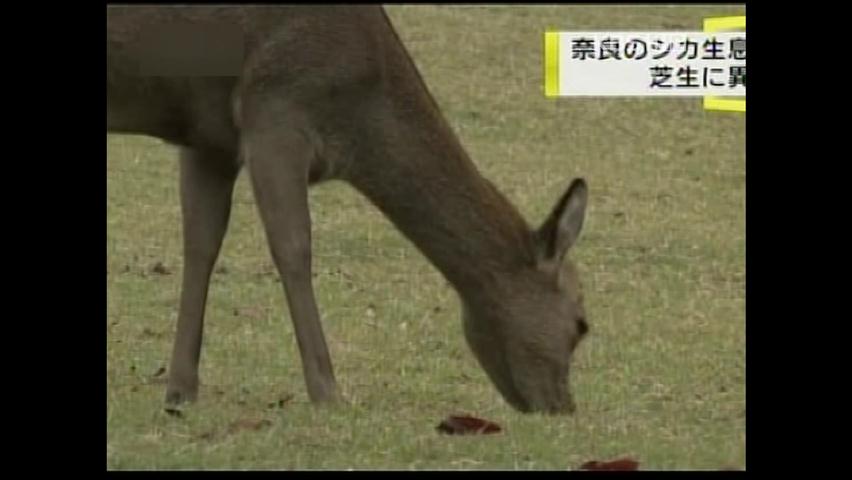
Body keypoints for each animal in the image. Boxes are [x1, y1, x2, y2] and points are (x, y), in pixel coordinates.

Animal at [106, 5, 588, 414]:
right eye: (583, 324)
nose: (564, 408)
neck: (358, 115)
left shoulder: (210, 138)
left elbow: (200, 245)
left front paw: (180, 392)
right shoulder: (275, 111)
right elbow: (293, 248)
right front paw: (327, 392)